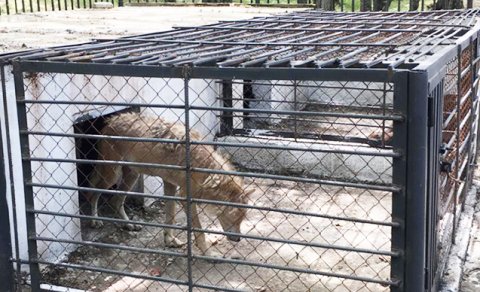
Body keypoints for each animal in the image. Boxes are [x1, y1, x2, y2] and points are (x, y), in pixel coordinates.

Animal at [85, 113, 253, 254]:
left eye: (242, 219)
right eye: (235, 219)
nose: (238, 239)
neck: (201, 166)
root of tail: (109, 121)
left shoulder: (170, 185)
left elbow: (170, 216)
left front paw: (170, 241)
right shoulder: (185, 196)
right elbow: (199, 230)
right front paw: (207, 253)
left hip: (132, 176)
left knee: (116, 200)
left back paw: (129, 225)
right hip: (112, 176)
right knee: (93, 193)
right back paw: (95, 221)